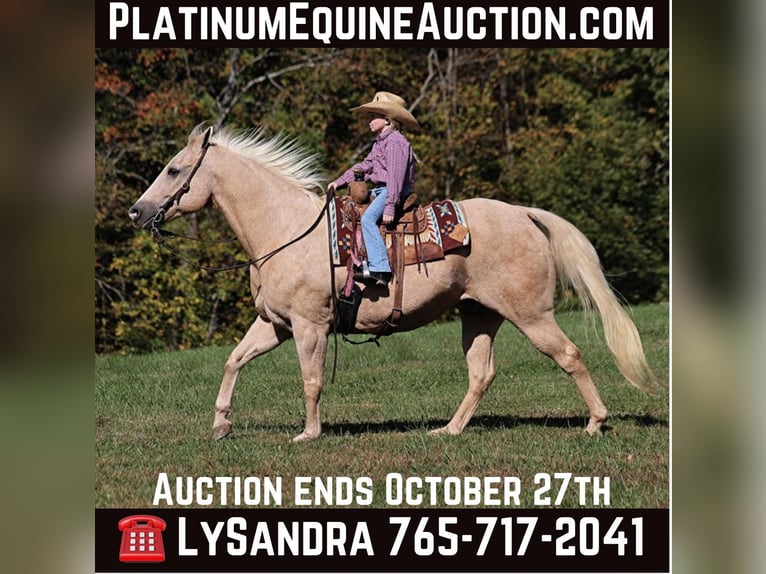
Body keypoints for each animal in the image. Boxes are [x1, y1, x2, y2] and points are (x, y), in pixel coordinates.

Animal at [128, 124, 658, 443]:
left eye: (174, 169)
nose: (136, 211)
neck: (284, 229)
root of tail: (523, 214)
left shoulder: (308, 326)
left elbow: (310, 379)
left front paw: (308, 434)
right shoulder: (274, 324)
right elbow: (233, 360)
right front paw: (220, 423)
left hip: (532, 315)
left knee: (568, 356)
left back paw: (595, 423)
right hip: (479, 315)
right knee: (481, 374)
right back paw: (448, 431)